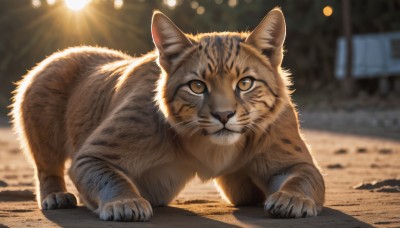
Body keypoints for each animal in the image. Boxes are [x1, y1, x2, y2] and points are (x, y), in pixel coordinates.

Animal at [11, 8, 324, 221]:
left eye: (245, 83)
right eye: (197, 86)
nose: (224, 115)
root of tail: (65, 51)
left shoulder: (293, 161)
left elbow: (303, 179)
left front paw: (292, 199)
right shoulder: (91, 155)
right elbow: (110, 177)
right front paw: (124, 203)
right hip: (41, 126)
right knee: (47, 167)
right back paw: (56, 196)